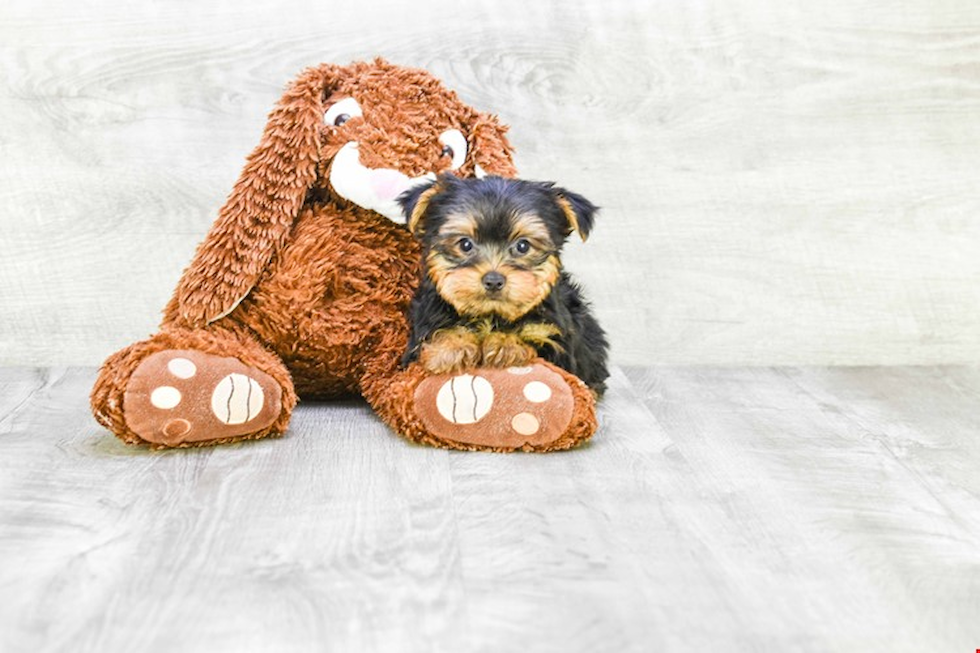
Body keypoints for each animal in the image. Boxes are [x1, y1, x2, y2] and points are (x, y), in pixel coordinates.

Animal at [396, 173, 608, 394]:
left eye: (523, 246)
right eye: (465, 244)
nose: (493, 280)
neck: (492, 314)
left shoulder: (555, 340)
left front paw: (505, 344)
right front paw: (451, 346)